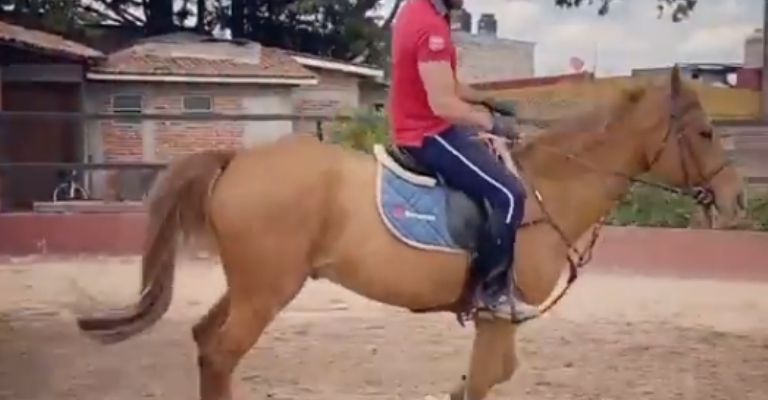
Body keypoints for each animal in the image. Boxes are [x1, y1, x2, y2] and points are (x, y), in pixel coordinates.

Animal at [76, 66, 746, 400]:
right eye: (706, 132)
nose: (739, 200)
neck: (546, 187)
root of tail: (238, 158)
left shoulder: (495, 320)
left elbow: (487, 379)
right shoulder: (498, 314)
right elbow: (485, 381)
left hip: (251, 286)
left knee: (205, 343)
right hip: (266, 292)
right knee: (219, 354)